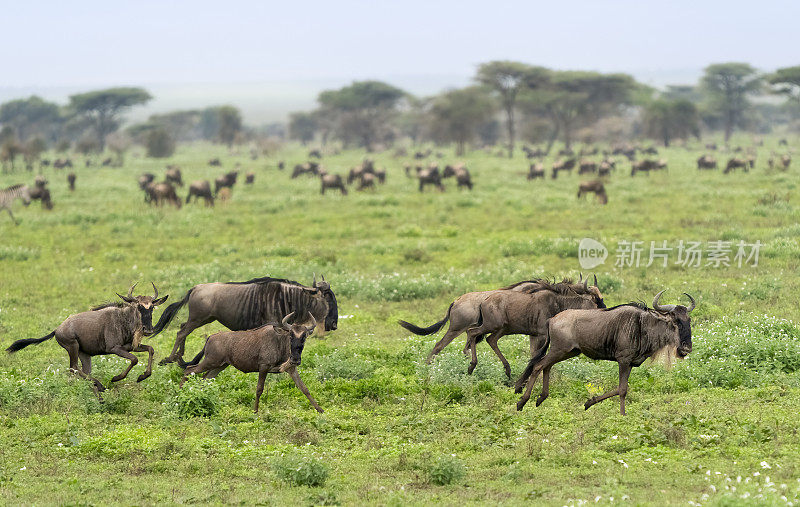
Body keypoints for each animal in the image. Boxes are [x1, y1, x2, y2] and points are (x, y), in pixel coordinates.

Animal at [181, 312, 322, 414]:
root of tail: (210, 337)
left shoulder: (291, 369)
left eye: (304, 337)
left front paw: (320, 410)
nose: (295, 359)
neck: (280, 342)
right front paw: (255, 411)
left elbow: (304, 388)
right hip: (210, 362)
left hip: (219, 366)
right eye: (291, 335)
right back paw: (180, 393)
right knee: (189, 369)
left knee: (204, 379)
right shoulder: (263, 367)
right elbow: (259, 389)